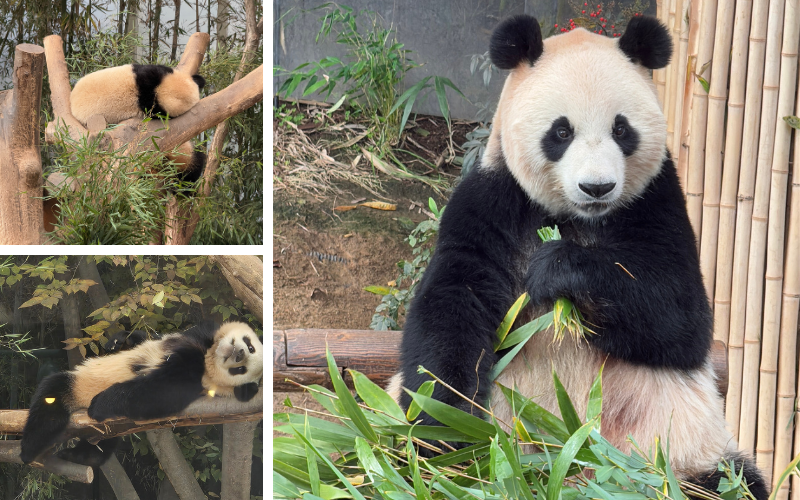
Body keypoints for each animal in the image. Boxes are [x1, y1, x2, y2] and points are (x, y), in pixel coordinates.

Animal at [19, 322, 262, 466]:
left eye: (241, 370)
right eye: (250, 346)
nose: (239, 353)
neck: (207, 356)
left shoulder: (194, 378)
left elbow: (155, 394)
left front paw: (101, 403)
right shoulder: (194, 336)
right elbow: (144, 340)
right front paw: (119, 339)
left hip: (90, 402)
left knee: (52, 399)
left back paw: (37, 452)